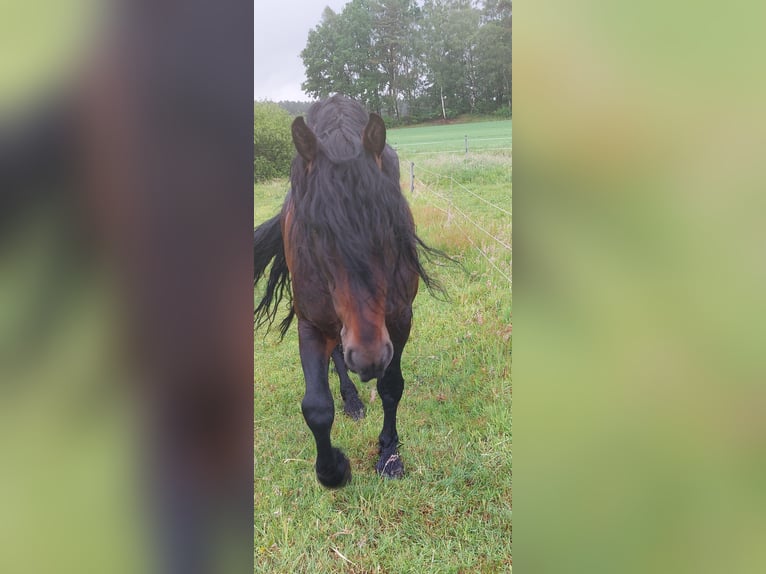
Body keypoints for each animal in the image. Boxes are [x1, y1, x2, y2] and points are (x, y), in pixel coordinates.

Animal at [254, 95, 444, 490]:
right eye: (313, 231)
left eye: (390, 223)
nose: (368, 358)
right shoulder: (311, 324)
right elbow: (315, 406)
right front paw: (333, 469)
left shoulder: (399, 318)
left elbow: (391, 386)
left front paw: (389, 454)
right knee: (338, 358)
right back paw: (352, 400)